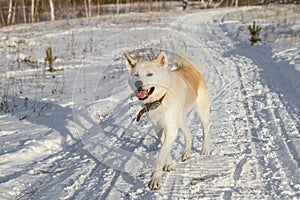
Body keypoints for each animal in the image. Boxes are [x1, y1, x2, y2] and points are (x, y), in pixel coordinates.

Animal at [124, 50, 211, 190]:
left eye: (150, 74)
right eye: (136, 75)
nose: (138, 84)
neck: (160, 100)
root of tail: (189, 67)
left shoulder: (171, 130)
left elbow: (160, 156)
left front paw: (155, 179)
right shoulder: (159, 129)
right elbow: (165, 149)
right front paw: (169, 164)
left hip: (202, 112)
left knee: (206, 130)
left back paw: (205, 149)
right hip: (180, 121)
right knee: (188, 134)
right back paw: (186, 153)